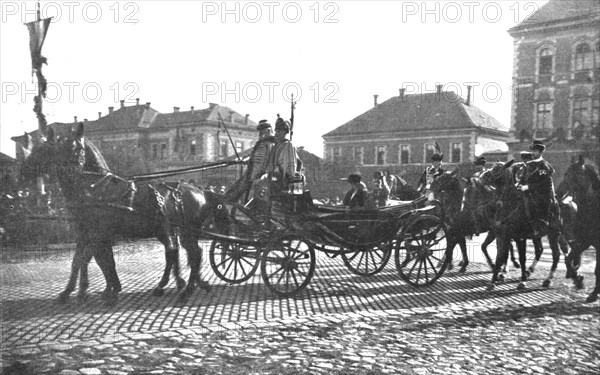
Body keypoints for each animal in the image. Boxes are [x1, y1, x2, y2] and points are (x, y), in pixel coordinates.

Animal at [21, 123, 223, 306]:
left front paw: (103, 290)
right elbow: (86, 260)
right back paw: (179, 285)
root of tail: (201, 191)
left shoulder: (98, 233)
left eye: (76, 148)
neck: (94, 189)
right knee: (179, 252)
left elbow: (94, 259)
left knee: (191, 254)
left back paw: (186, 289)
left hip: (185, 231)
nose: (25, 170)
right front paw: (78, 290)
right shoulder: (87, 232)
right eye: (57, 149)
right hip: (173, 231)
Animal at [480, 161, 568, 290]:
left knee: (556, 254)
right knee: (539, 250)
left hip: (553, 234)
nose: (483, 176)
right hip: (537, 236)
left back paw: (548, 279)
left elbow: (521, 258)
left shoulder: (519, 238)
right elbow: (500, 257)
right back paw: (529, 271)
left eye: (498, 168)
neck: (510, 204)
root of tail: (556, 202)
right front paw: (493, 280)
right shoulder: (503, 236)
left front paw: (522, 281)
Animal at [556, 157, 600, 304]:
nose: (557, 193)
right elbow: (569, 259)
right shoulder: (584, 242)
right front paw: (576, 276)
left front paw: (593, 293)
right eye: (565, 174)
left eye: (573, 175)